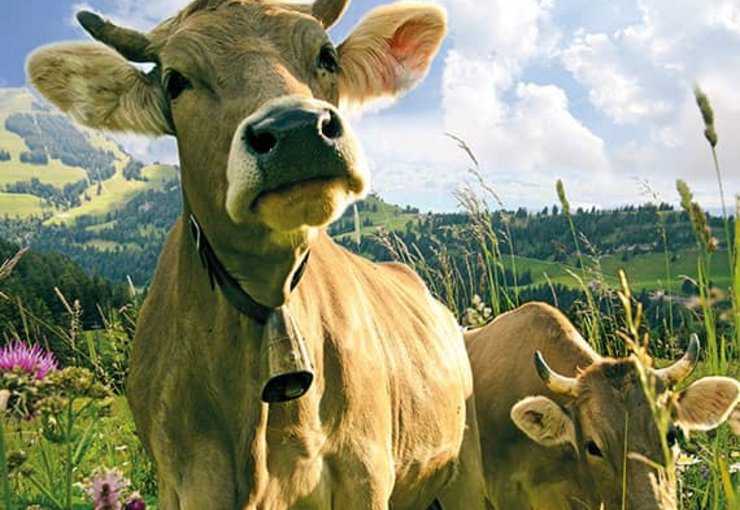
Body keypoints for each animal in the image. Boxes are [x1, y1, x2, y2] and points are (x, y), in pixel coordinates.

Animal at [26, 0, 488, 508]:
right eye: (175, 81)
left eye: (326, 56)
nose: (297, 130)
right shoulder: (182, 481)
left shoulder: (365, 472)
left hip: (466, 469)